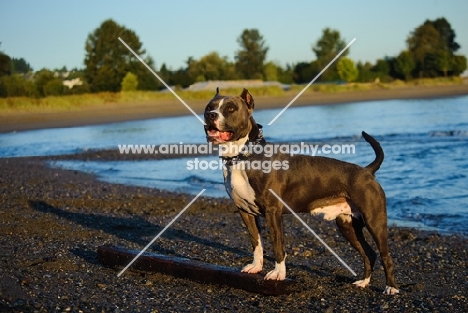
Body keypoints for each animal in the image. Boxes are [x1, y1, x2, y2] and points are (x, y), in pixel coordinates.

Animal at [204, 88, 398, 294]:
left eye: (231, 108)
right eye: (209, 107)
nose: (211, 115)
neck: (242, 156)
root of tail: (367, 171)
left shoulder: (273, 213)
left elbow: (277, 245)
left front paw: (278, 274)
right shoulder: (245, 212)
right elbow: (256, 241)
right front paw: (256, 266)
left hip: (374, 221)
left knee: (385, 255)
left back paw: (391, 288)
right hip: (347, 225)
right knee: (369, 253)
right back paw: (364, 281)